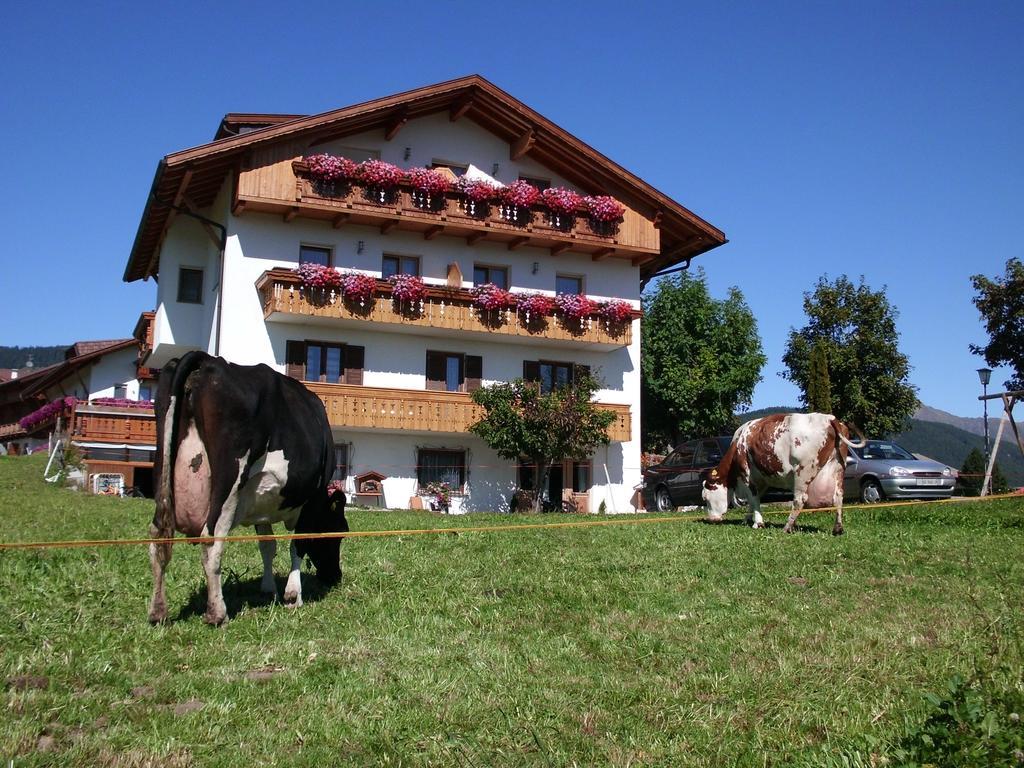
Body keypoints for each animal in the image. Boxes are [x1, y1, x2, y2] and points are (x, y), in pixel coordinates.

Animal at [700, 415, 860, 536]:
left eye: (706, 498)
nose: (711, 519)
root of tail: (830, 418)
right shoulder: (762, 480)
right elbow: (753, 501)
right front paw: (748, 519)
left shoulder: (747, 476)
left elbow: (754, 499)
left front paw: (758, 523)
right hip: (837, 469)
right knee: (838, 497)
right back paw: (837, 528)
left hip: (803, 472)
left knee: (800, 499)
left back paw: (787, 527)